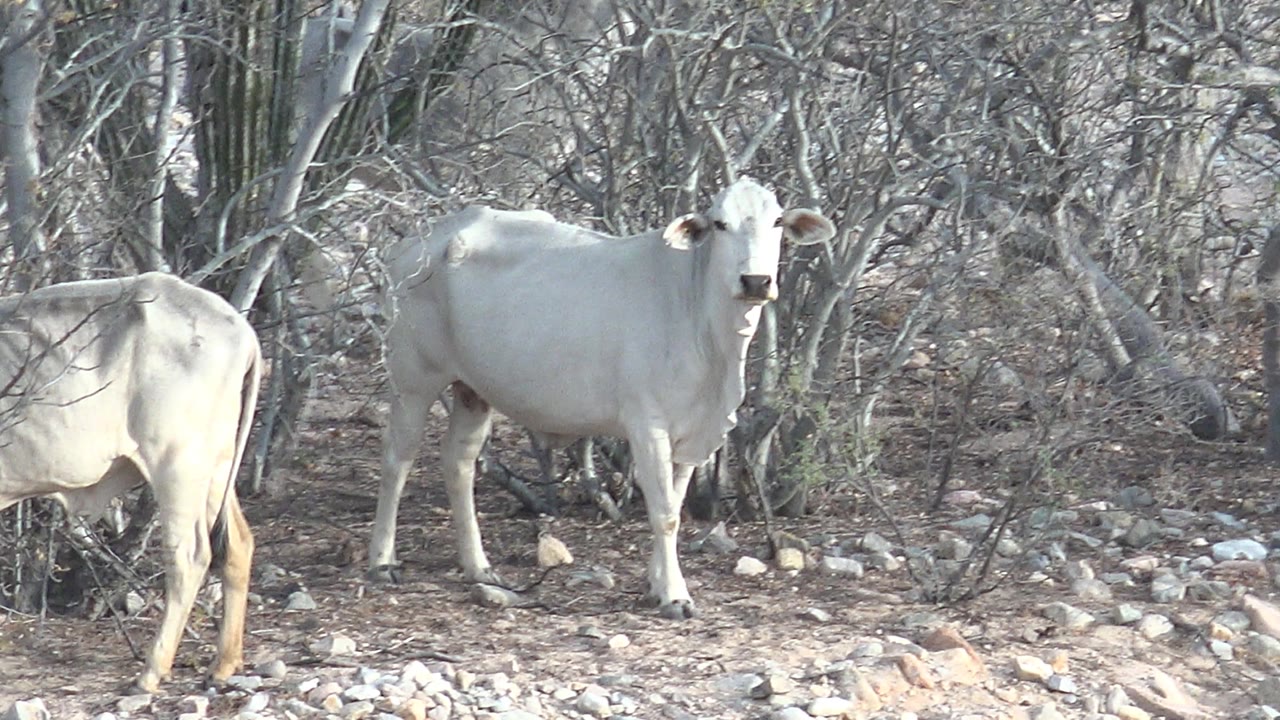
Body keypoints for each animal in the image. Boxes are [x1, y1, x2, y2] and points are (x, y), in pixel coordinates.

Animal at [0, 272, 261, 692]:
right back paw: (224, 663)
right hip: (216, 467)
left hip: (178, 464)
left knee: (189, 557)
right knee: (236, 545)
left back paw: (152, 670)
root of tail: (238, 326)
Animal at [369, 178, 836, 619]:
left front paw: (656, 583)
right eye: (720, 224)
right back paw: (382, 561)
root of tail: (415, 242)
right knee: (398, 457)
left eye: (777, 222)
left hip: (473, 389)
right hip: (413, 377)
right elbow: (664, 511)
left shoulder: (691, 431)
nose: (756, 281)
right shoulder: (647, 423)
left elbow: (675, 503)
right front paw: (675, 595)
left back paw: (478, 566)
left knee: (459, 462)